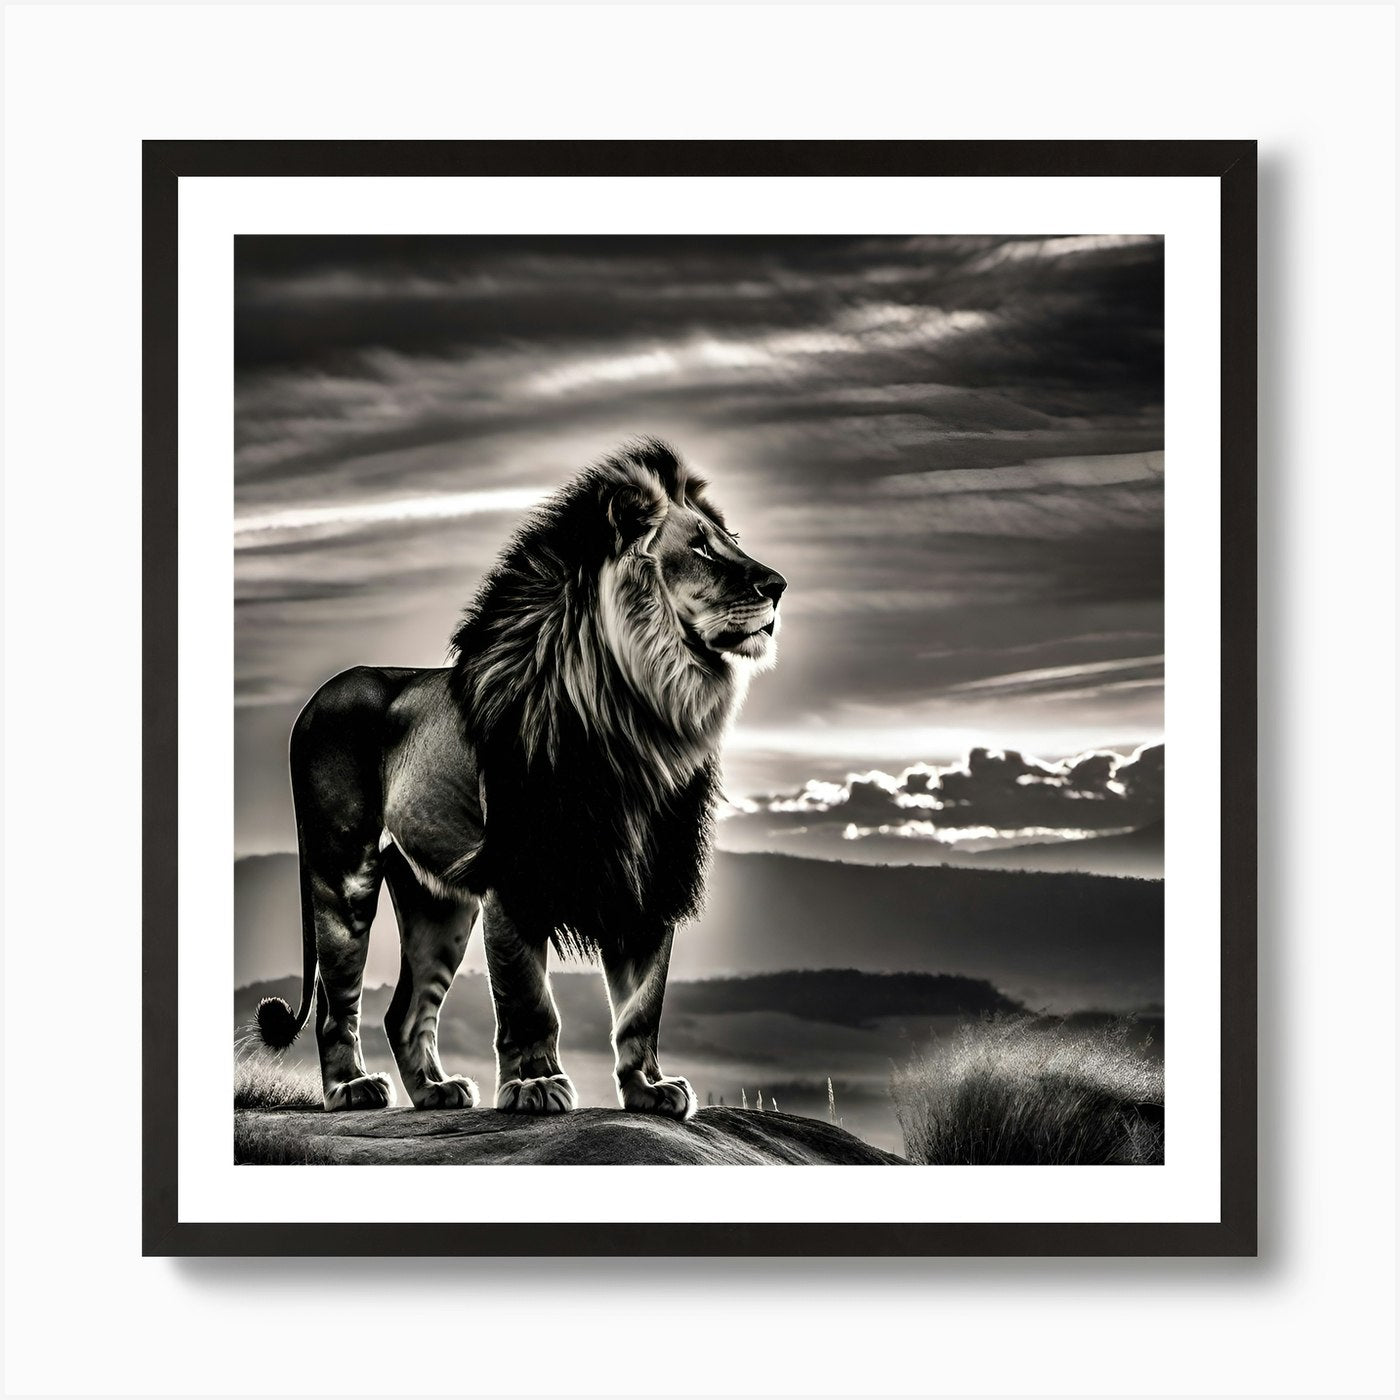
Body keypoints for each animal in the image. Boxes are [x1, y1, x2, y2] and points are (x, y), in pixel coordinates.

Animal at [255, 440, 786, 1119]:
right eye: (699, 548)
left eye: (729, 540)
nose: (778, 585)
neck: (639, 713)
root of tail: (315, 700)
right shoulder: (518, 871)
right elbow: (528, 997)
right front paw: (535, 1085)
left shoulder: (648, 875)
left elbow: (643, 1004)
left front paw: (648, 1090)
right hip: (342, 871)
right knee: (335, 1003)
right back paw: (351, 1089)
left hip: (437, 899)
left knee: (405, 1011)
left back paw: (437, 1093)